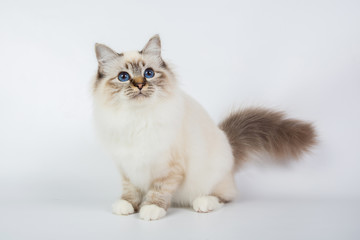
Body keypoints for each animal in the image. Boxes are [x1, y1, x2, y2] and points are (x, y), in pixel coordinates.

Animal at [91, 34, 316, 221]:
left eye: (149, 73)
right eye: (124, 77)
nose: (139, 85)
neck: (137, 118)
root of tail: (229, 146)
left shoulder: (169, 166)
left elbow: (159, 190)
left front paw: (151, 208)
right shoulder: (127, 166)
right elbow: (131, 190)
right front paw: (127, 205)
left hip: (211, 176)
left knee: (225, 197)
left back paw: (203, 202)